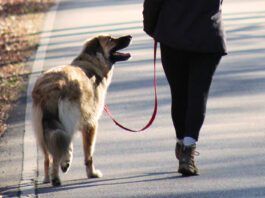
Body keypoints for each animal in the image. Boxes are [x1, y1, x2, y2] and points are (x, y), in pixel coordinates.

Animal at [32, 34, 131, 186]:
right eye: (110, 39)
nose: (130, 36)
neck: (92, 63)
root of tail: (48, 89)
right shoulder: (90, 124)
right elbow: (89, 154)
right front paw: (92, 174)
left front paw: (66, 161)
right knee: (56, 154)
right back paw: (55, 178)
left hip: (42, 130)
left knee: (48, 156)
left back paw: (48, 177)